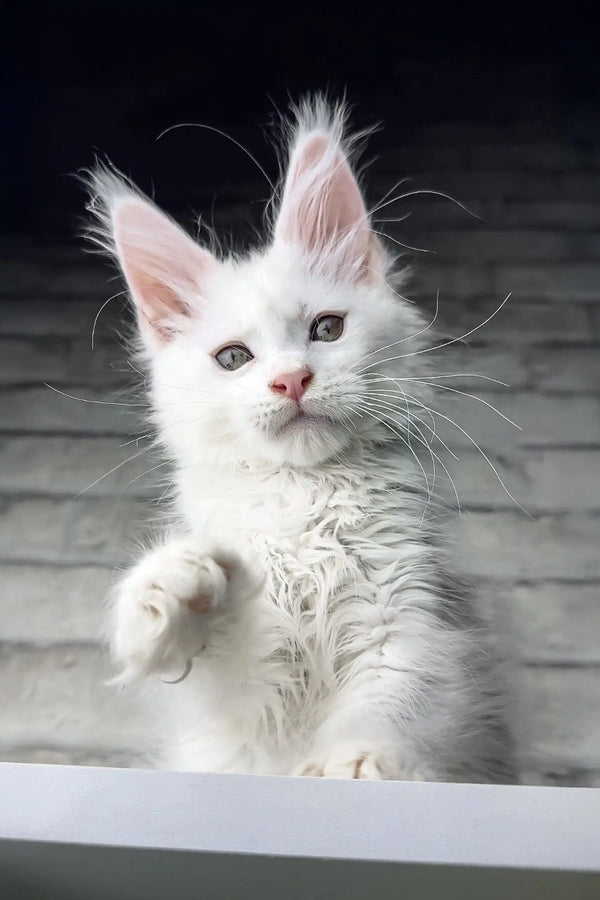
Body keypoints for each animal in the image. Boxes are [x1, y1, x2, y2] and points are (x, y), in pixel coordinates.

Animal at [86, 98, 512, 780]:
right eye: (234, 358)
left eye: (327, 329)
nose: (291, 379)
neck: (305, 504)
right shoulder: (241, 703)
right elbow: (225, 671)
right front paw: (171, 587)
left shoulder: (412, 626)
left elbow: (390, 703)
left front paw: (357, 760)